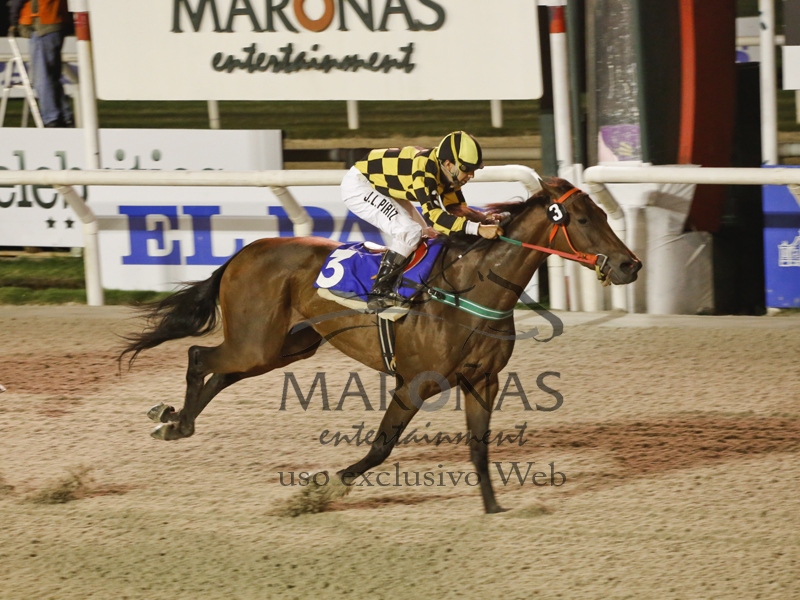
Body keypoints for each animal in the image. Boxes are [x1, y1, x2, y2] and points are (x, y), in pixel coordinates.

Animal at [120, 177, 641, 514]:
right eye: (581, 218)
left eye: (602, 212)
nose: (629, 265)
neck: (472, 290)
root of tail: (242, 253)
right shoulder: (413, 384)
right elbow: (381, 448)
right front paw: (322, 490)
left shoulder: (483, 381)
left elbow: (478, 447)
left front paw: (494, 507)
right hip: (256, 341)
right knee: (198, 356)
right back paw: (175, 420)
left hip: (283, 347)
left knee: (223, 373)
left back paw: (174, 423)